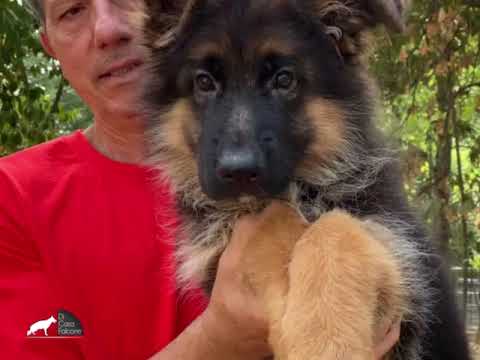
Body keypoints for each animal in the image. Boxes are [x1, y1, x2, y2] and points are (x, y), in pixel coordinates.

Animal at [137, 0, 470, 360]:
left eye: (284, 79)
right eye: (204, 82)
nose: (238, 171)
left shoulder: (402, 258)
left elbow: (334, 227)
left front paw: (326, 340)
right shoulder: (217, 254)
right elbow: (271, 231)